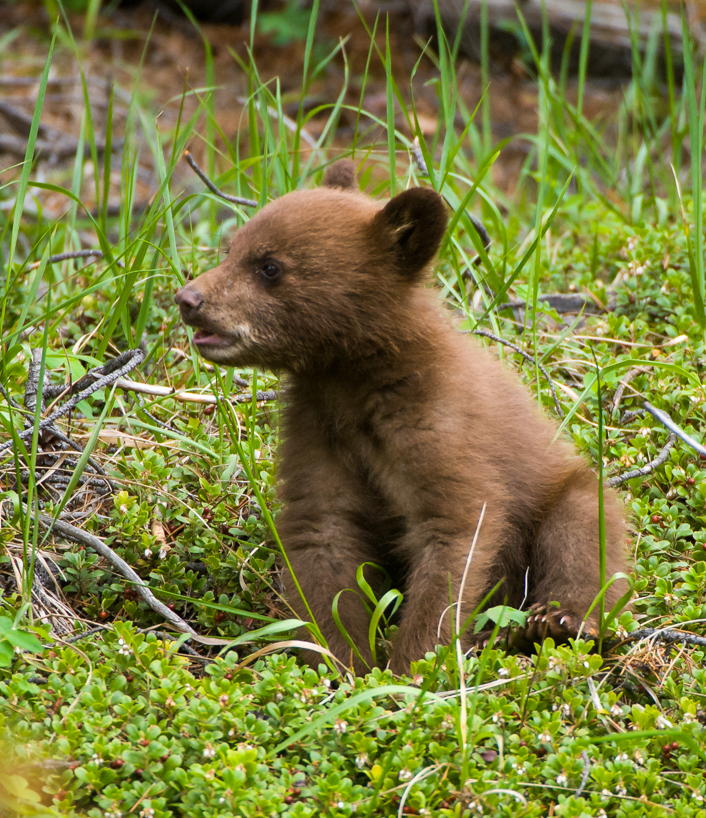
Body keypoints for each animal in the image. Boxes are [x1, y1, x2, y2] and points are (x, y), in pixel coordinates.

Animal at [174, 159, 628, 676]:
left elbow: (453, 533)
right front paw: (341, 664)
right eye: (231, 250)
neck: (353, 383)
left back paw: (555, 621)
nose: (189, 299)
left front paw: (414, 667)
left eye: (269, 266)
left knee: (584, 533)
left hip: (566, 496)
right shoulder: (318, 427)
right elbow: (322, 535)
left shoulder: (437, 425)